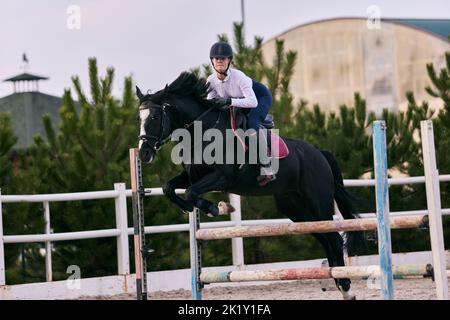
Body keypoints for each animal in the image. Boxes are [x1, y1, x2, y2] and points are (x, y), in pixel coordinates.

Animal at [136, 72, 362, 300]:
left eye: (154, 117)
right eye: (139, 118)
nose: (143, 153)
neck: (202, 133)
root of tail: (320, 154)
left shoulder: (222, 176)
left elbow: (191, 192)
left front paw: (216, 208)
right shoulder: (191, 176)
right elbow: (169, 188)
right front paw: (196, 208)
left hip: (318, 202)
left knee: (333, 238)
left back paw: (346, 286)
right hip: (296, 209)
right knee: (325, 238)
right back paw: (340, 283)